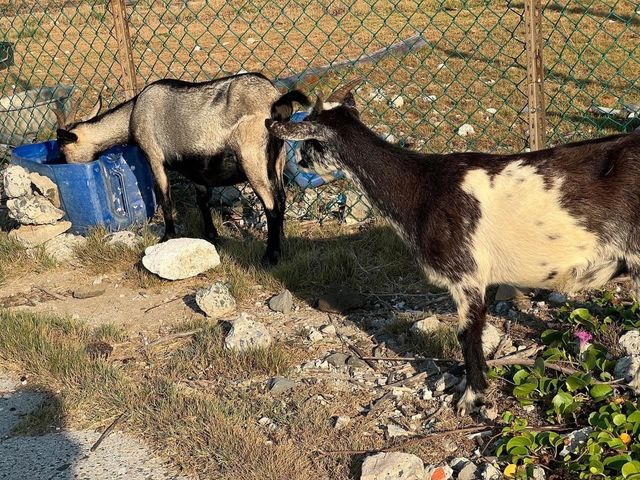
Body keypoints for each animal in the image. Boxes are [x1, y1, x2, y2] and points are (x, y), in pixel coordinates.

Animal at [56, 73, 312, 264]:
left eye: (63, 149)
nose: (61, 164)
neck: (134, 113)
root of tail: (275, 101)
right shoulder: (197, 169)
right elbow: (202, 200)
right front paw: (211, 235)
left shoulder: (154, 156)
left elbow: (165, 198)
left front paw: (167, 236)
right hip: (276, 159)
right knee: (281, 198)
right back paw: (282, 241)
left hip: (252, 159)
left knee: (271, 206)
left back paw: (270, 256)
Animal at [268, 80, 640, 414]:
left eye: (311, 140)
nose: (300, 161)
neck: (423, 187)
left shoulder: (466, 275)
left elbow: (468, 336)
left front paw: (471, 398)